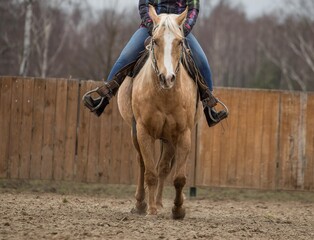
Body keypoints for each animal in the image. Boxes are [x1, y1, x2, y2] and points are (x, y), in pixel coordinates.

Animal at [116, 5, 200, 219]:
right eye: (155, 41)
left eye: (179, 41)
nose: (167, 78)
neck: (165, 95)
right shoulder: (144, 132)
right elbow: (150, 173)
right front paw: (150, 209)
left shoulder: (183, 134)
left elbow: (178, 177)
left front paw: (178, 209)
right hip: (135, 133)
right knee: (143, 164)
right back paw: (141, 203)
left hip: (168, 139)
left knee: (163, 167)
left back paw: (161, 203)